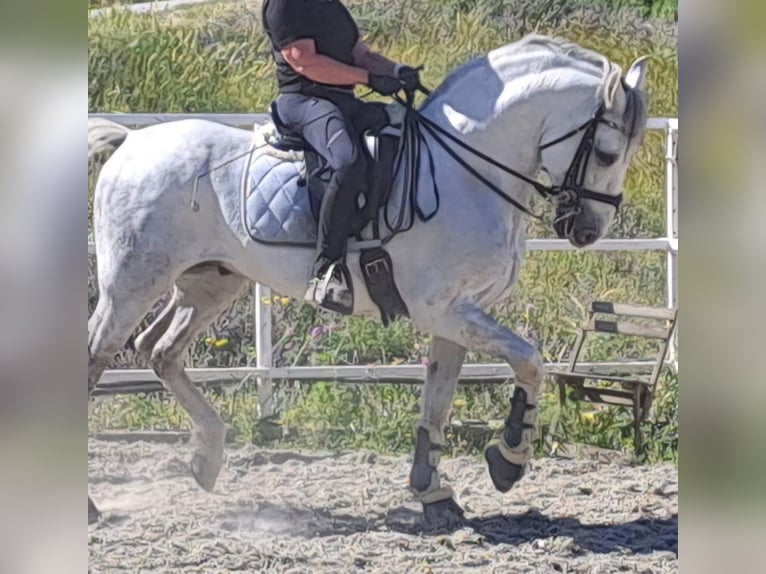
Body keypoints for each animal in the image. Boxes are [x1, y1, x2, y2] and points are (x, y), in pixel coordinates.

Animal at [87, 33, 648, 528]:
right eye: (606, 153)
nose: (588, 230)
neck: (467, 169)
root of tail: (133, 140)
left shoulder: (456, 314)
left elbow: (438, 401)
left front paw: (434, 495)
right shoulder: (442, 309)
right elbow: (530, 360)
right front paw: (507, 461)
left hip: (209, 282)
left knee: (160, 349)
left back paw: (206, 459)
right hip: (131, 282)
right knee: (100, 354)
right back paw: (93, 505)